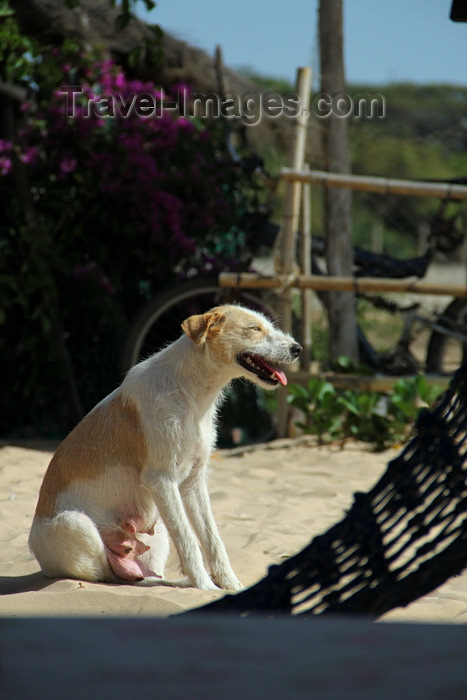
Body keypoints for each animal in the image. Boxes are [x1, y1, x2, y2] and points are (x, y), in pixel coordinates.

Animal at [29, 306, 302, 592]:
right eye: (253, 329)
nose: (298, 349)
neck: (191, 391)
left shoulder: (194, 482)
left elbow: (212, 539)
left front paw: (230, 586)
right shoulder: (161, 480)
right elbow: (189, 540)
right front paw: (205, 587)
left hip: (156, 529)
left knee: (139, 574)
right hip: (76, 523)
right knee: (108, 574)